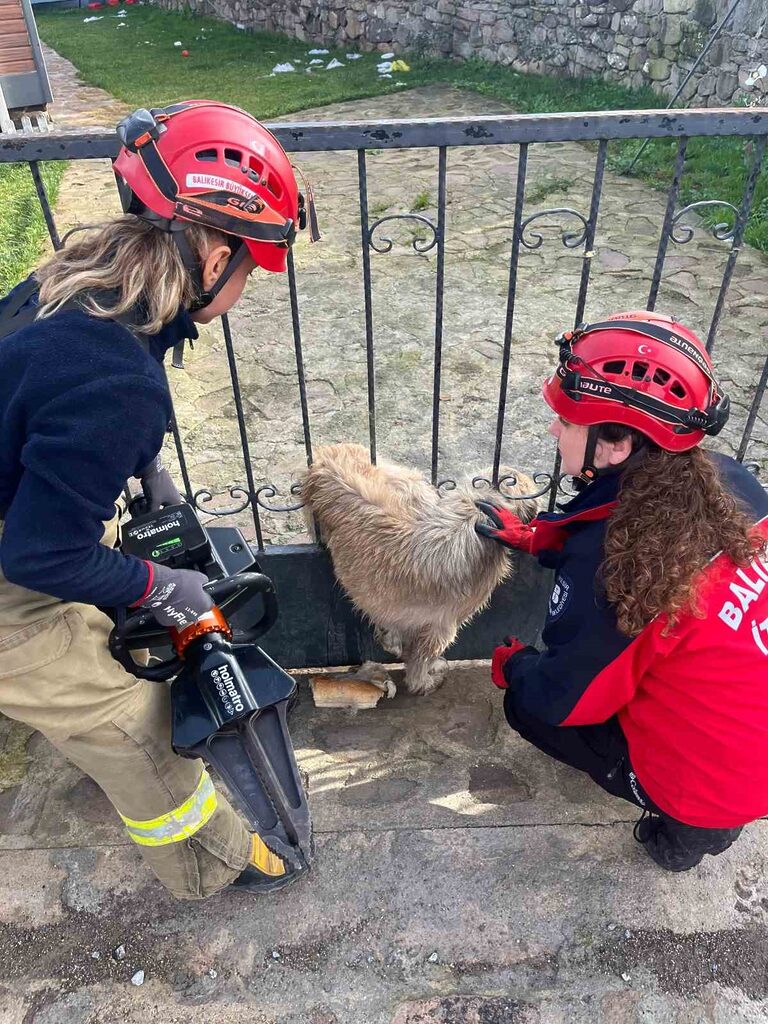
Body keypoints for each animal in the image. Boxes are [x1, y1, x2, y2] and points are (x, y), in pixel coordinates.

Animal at [301, 442, 540, 692]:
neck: (475, 514)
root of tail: (330, 451)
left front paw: (392, 641)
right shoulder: (444, 623)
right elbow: (421, 656)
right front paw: (424, 679)